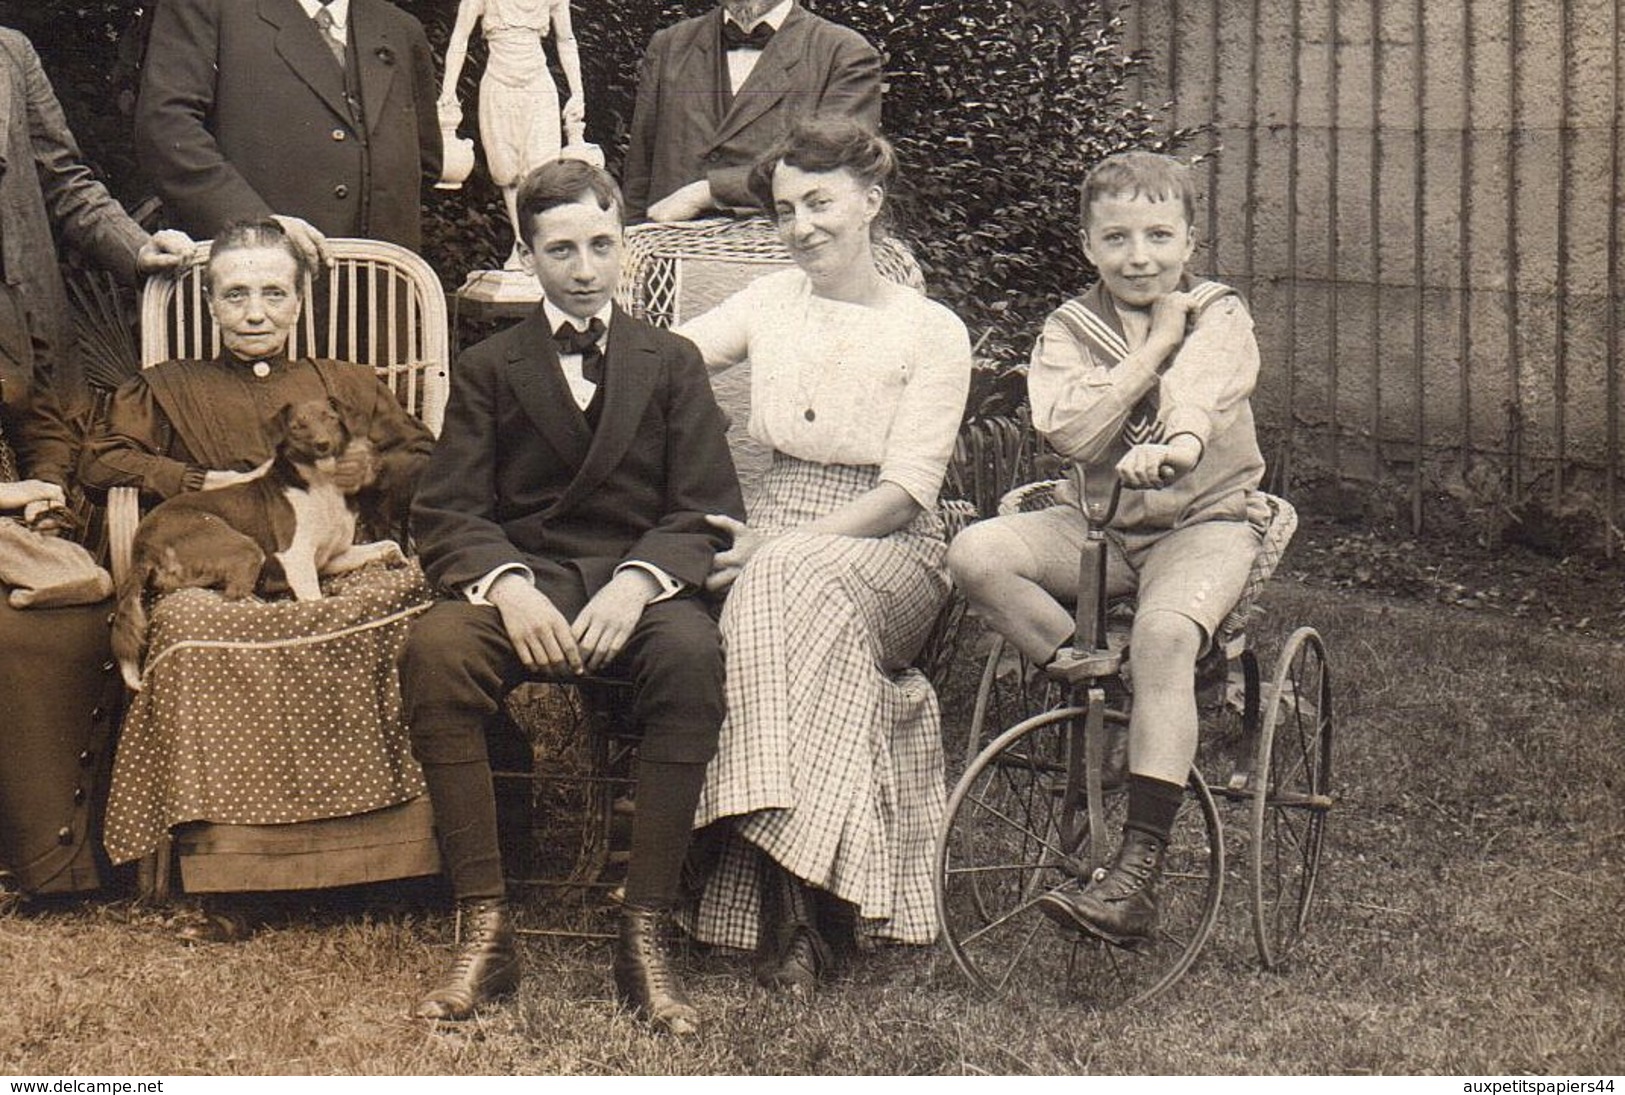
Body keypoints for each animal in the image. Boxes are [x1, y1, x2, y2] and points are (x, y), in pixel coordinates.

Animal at [113, 401, 403, 685]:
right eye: (297, 426)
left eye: (330, 417)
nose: (323, 444)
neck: (321, 485)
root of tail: (140, 545)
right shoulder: (296, 558)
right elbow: (315, 601)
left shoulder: (332, 558)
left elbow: (387, 543)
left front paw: (395, 557)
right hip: (244, 547)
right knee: (234, 596)